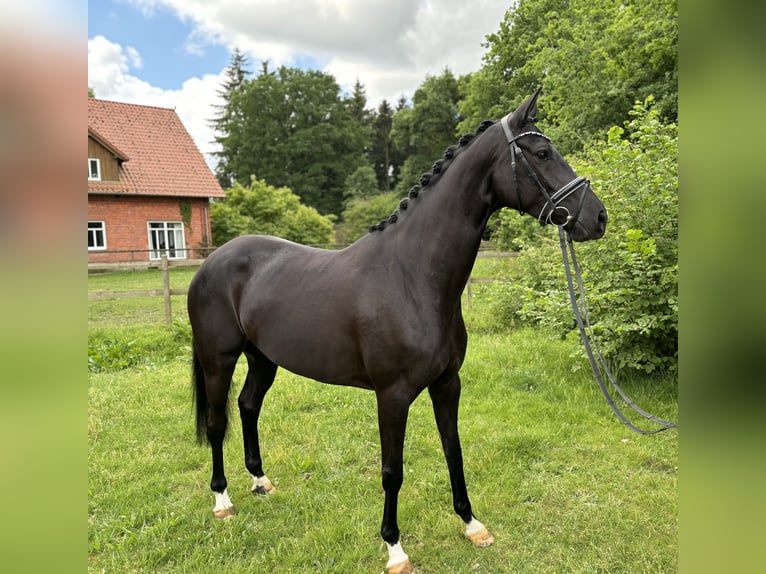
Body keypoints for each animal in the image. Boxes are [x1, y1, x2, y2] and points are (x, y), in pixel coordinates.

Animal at [186, 91, 608, 574]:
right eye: (541, 153)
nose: (598, 217)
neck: (414, 277)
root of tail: (211, 263)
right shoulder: (393, 395)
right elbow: (393, 470)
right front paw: (394, 548)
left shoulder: (447, 384)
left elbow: (452, 449)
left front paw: (472, 524)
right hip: (218, 360)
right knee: (217, 422)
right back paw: (223, 500)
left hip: (263, 359)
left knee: (248, 406)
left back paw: (260, 481)